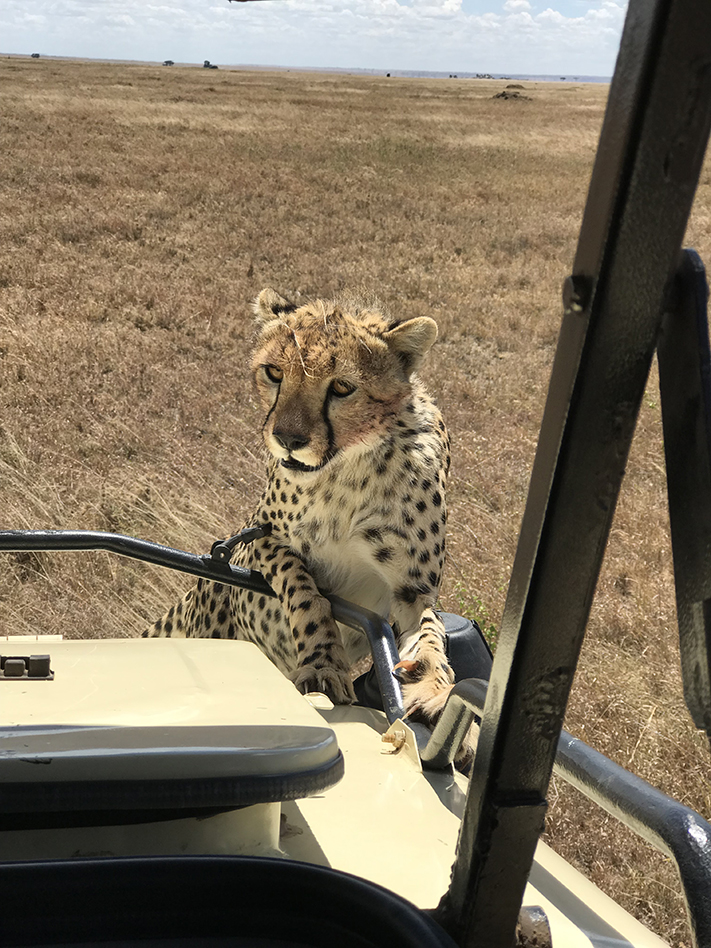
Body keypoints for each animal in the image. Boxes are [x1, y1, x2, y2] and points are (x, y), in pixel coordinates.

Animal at [145, 288, 456, 724]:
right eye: (274, 372)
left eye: (341, 387)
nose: (287, 439)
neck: (346, 471)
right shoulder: (257, 539)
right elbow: (304, 588)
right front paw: (323, 663)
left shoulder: (412, 589)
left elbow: (431, 632)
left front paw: (432, 684)